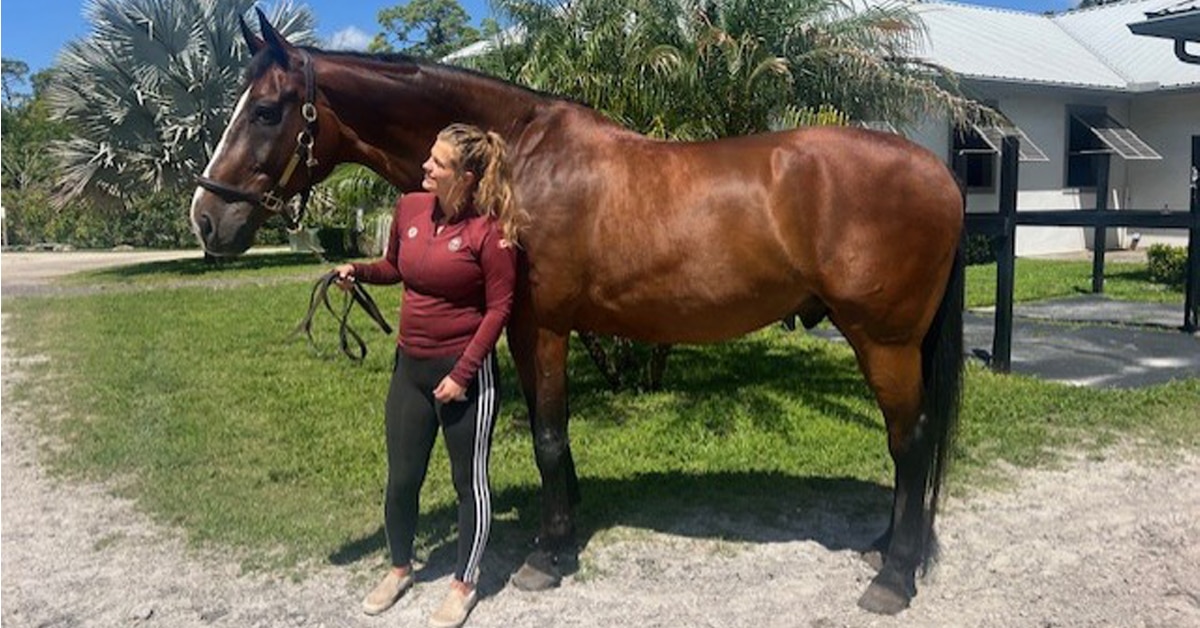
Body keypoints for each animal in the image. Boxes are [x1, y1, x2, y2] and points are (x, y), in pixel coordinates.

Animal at [190, 11, 964, 615]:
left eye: (265, 110)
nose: (205, 218)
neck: (518, 161)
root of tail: (940, 172)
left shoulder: (542, 327)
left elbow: (548, 436)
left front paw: (546, 557)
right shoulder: (523, 329)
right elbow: (547, 432)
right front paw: (561, 535)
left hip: (884, 340)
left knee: (911, 441)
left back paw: (895, 575)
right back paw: (888, 547)